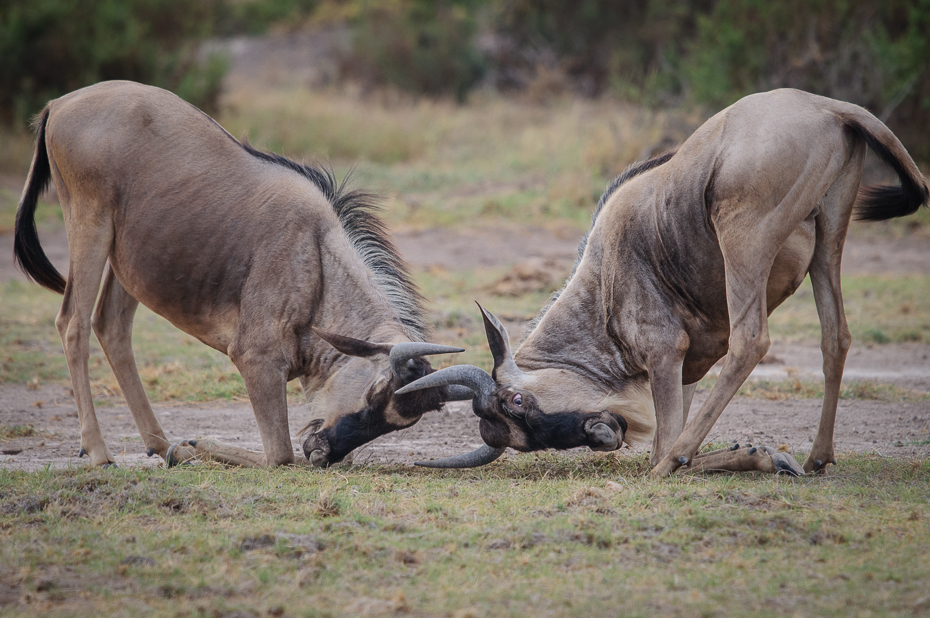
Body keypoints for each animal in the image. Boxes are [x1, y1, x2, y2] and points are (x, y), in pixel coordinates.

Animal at [15, 82, 474, 466]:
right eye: (376, 393)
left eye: (398, 423)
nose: (322, 452)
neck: (317, 262)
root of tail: (61, 104)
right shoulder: (256, 359)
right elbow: (279, 455)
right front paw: (195, 444)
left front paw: (184, 447)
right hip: (90, 229)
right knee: (72, 323)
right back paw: (100, 451)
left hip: (127, 260)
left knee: (110, 326)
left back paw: (161, 445)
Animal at [396, 88, 920, 472]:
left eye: (518, 401)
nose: (605, 435)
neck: (602, 280)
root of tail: (828, 107)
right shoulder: (688, 368)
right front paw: (761, 457)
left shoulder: (666, 354)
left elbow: (662, 443)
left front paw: (732, 457)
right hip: (831, 240)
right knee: (836, 336)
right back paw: (816, 458)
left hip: (744, 242)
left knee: (750, 343)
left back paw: (679, 462)